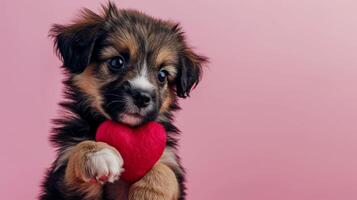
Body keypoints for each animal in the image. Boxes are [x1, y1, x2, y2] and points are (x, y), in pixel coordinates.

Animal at [39, 1, 206, 200]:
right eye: (117, 62)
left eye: (162, 75)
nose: (142, 97)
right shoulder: (64, 181)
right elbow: (78, 149)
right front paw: (98, 153)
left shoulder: (169, 160)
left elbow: (163, 171)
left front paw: (147, 194)